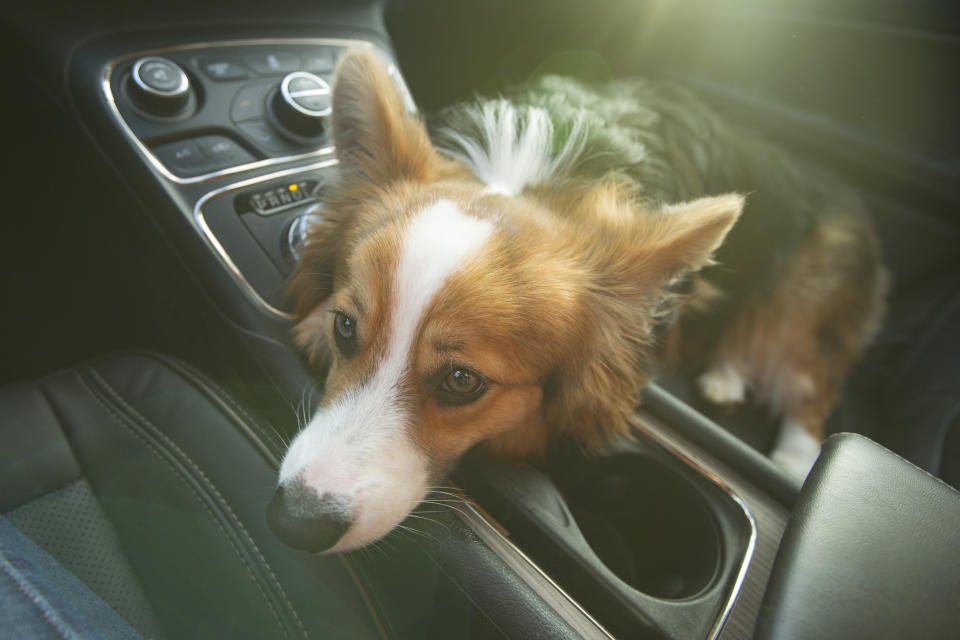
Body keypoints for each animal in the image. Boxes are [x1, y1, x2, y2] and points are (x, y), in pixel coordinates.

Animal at [264, 50, 884, 552]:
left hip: (803, 296)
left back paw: (794, 459)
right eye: (345, 327)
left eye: (463, 381)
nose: (293, 521)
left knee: (805, 375)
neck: (525, 171)